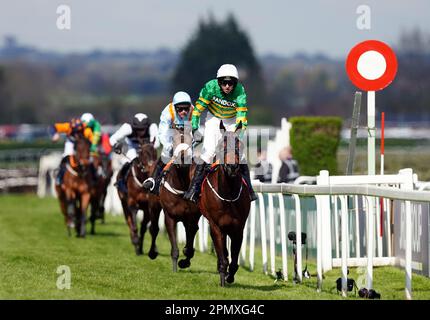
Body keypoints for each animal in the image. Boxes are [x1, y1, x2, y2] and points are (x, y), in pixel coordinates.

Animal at [159, 125, 202, 272]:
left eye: (191, 139)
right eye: (174, 139)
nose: (183, 158)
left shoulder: (192, 218)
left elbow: (189, 246)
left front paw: (184, 261)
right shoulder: (170, 217)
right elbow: (174, 248)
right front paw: (174, 269)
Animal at [199, 121, 252, 286]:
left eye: (239, 145)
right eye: (221, 146)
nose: (232, 167)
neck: (228, 195)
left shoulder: (238, 227)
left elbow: (234, 260)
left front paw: (230, 276)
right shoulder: (216, 226)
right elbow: (222, 256)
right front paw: (223, 277)